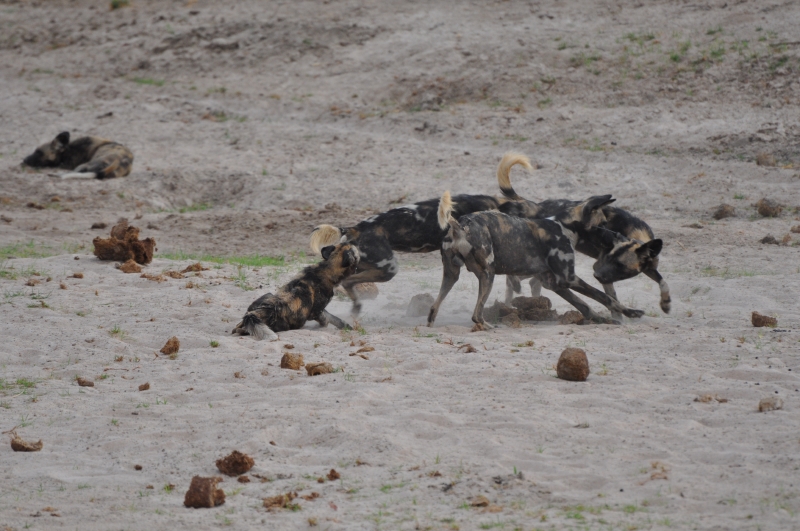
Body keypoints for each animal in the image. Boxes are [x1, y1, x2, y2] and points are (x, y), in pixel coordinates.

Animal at [232, 243, 360, 341]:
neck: (326, 269)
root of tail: (258, 313)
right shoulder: (317, 311)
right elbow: (328, 320)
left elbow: (336, 319)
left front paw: (347, 327)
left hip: (265, 297)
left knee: (238, 327)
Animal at [428, 191, 644, 330]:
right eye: (603, 224)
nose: (619, 238)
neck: (565, 226)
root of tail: (460, 225)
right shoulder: (569, 279)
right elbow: (605, 297)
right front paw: (630, 313)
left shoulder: (554, 283)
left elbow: (585, 306)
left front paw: (605, 319)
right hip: (488, 274)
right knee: (476, 314)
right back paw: (488, 326)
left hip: (451, 276)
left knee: (434, 308)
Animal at [497, 152, 669, 317]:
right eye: (610, 259)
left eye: (620, 265)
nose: (597, 275)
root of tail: (538, 205)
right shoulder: (593, 269)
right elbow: (610, 297)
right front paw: (619, 317)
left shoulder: (648, 267)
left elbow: (663, 282)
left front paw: (666, 304)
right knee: (516, 281)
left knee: (529, 282)